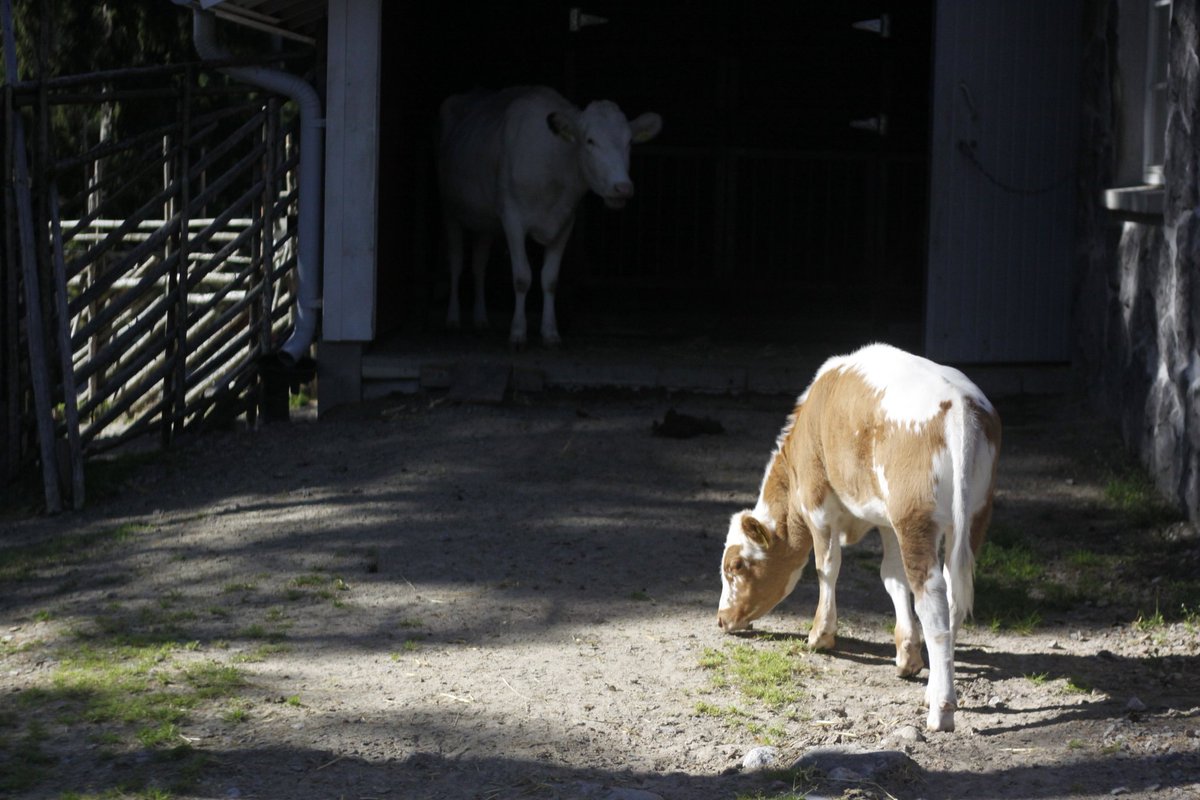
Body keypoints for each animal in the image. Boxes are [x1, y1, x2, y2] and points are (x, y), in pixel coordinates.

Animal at [437, 86, 662, 347]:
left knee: (479, 265)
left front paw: (550, 332)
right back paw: (453, 319)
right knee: (456, 263)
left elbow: (550, 279)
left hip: (485, 222)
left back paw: (481, 319)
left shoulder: (564, 222)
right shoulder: (512, 218)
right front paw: (518, 333)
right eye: (590, 140)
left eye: (629, 142)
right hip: (449, 210)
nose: (622, 187)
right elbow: (522, 277)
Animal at [716, 343, 1001, 732]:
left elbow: (826, 567)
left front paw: (820, 635)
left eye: (737, 566)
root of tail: (959, 402)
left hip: (915, 520)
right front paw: (906, 655)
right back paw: (933, 689)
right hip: (973, 516)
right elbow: (892, 579)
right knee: (954, 594)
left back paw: (941, 710)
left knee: (933, 600)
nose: (721, 619)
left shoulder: (818, 503)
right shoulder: (886, 521)